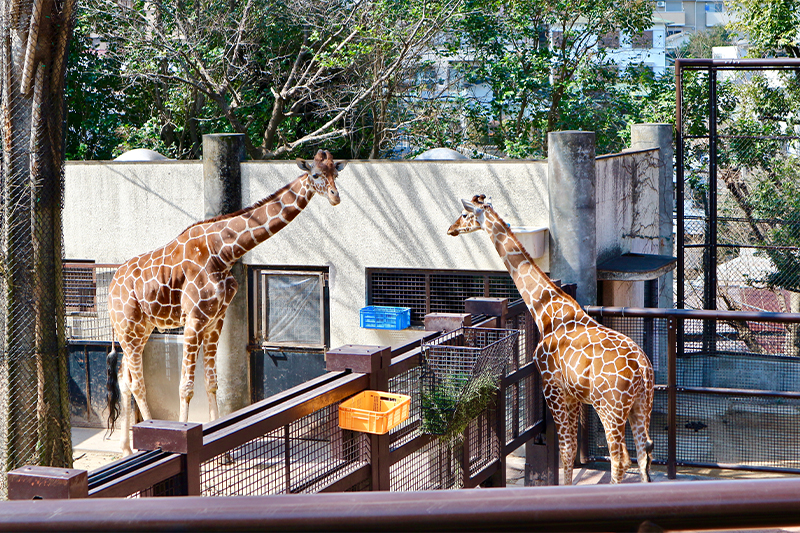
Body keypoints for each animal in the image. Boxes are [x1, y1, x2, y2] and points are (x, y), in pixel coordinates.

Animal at [104, 149, 346, 454]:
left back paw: (126, 449)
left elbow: (212, 382)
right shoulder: (194, 320)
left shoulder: (216, 319)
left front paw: (225, 456)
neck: (224, 252)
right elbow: (185, 386)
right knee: (137, 384)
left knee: (124, 379)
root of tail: (110, 288)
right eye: (315, 174)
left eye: (335, 173)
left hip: (140, 329)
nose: (336, 197)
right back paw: (146, 438)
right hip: (129, 328)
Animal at [446, 194, 652, 482]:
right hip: (641, 405)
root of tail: (643, 370)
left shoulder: (551, 385)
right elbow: (572, 447)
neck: (546, 311)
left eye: (464, 214)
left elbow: (565, 449)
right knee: (644, 455)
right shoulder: (573, 394)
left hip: (610, 408)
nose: (450, 229)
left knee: (621, 458)